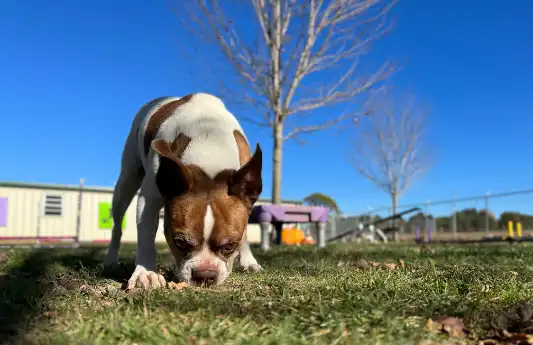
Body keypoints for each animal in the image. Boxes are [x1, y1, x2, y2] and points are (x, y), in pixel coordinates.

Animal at [103, 92, 262, 288]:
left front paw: (248, 260)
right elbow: (146, 238)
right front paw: (145, 273)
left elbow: (245, 232)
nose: (205, 274)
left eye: (229, 246)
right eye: (179, 242)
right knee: (117, 225)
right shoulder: (148, 200)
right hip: (127, 179)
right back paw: (111, 260)